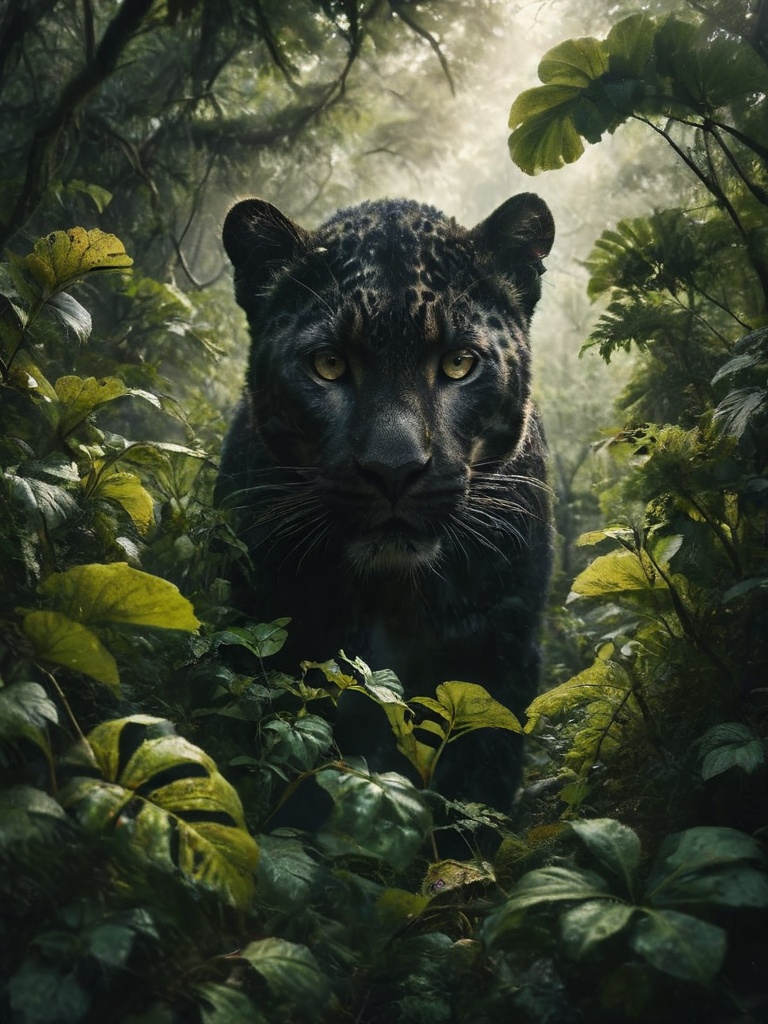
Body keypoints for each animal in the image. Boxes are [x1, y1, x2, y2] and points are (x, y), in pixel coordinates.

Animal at [216, 193, 555, 812]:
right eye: (328, 364)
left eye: (459, 363)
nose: (393, 470)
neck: (393, 594)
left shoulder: (503, 645)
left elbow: (478, 779)